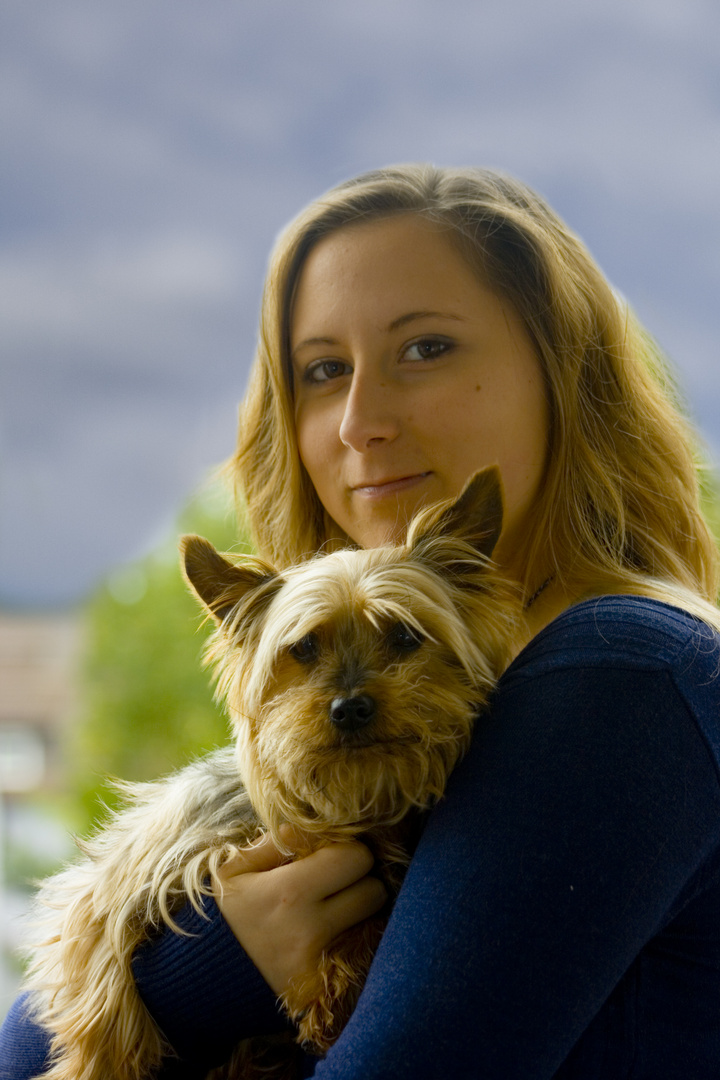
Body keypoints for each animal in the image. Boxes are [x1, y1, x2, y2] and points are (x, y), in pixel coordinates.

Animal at [22, 468, 524, 1080]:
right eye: (303, 647)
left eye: (405, 636)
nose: (350, 708)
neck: (348, 803)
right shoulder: (124, 879)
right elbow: (105, 996)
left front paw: (335, 990)